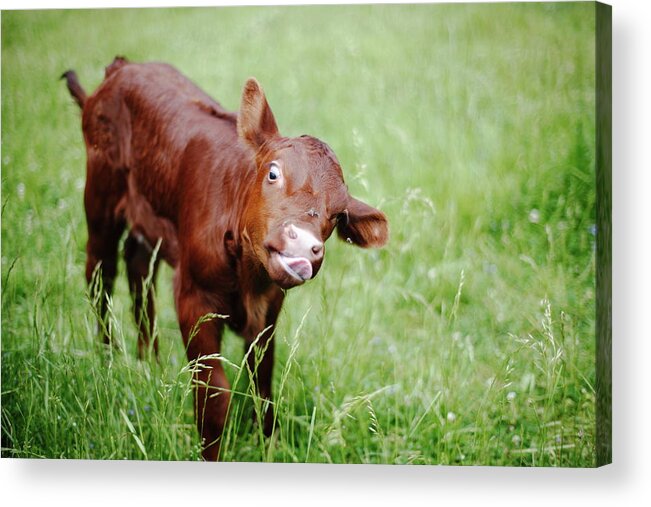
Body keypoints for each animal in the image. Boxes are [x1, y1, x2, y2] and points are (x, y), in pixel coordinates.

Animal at [62, 57, 388, 462]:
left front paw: (269, 445)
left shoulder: (268, 309)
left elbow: (263, 383)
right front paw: (210, 453)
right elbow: (215, 393)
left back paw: (147, 361)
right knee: (100, 272)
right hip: (101, 194)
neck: (249, 278)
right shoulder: (193, 296)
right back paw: (108, 357)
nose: (304, 246)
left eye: (338, 214)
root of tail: (122, 67)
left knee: (139, 269)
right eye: (273, 172)